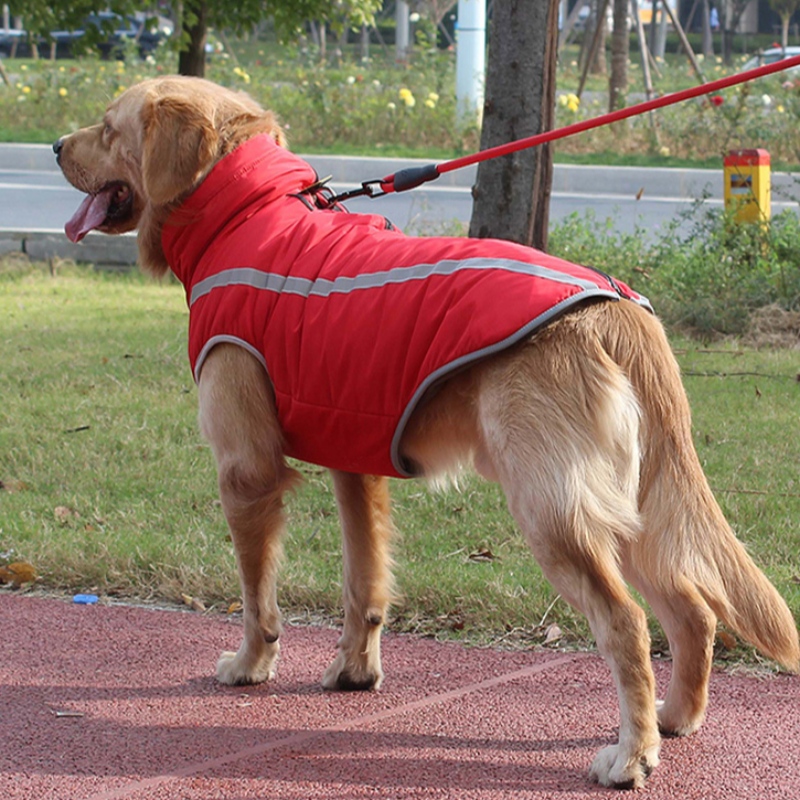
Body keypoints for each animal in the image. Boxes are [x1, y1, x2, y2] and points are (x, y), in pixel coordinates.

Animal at [53, 78, 796, 792]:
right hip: (631, 506)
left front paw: (251, 663)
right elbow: (364, 585)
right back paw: (675, 718)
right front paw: (355, 671)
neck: (249, 213)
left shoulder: (246, 470)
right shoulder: (355, 463)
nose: (58, 143)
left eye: (109, 126)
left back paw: (631, 756)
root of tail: (614, 308)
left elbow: (256, 593)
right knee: (694, 609)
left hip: (554, 513)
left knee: (629, 624)